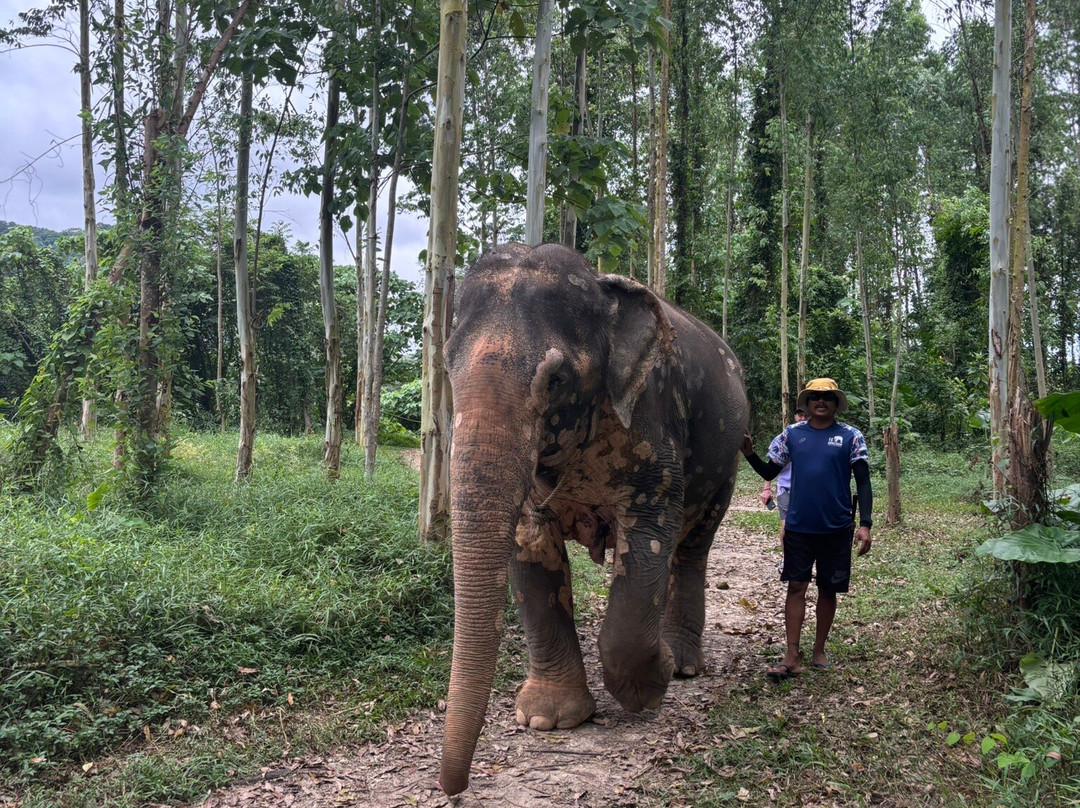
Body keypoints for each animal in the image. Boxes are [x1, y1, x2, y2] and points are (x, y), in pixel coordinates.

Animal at [434, 241, 747, 795]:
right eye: (447, 369)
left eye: (556, 380)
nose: (454, 788)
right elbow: (529, 547)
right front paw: (549, 719)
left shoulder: (653, 419)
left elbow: (648, 534)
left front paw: (654, 680)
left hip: (725, 460)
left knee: (692, 546)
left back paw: (684, 663)